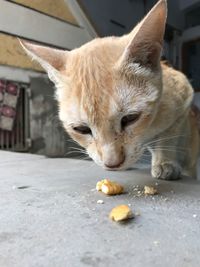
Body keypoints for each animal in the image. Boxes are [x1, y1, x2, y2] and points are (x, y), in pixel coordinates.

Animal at [19, 0, 198, 181]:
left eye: (130, 118)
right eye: (81, 129)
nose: (112, 164)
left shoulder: (184, 97)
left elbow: (169, 138)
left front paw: (165, 162)